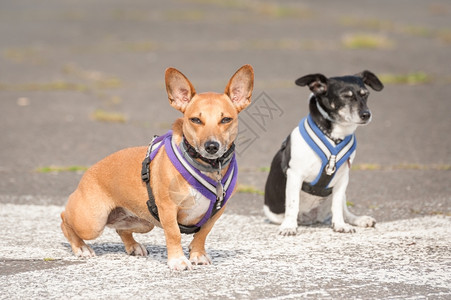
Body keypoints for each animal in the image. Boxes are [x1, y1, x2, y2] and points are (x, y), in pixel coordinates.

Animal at [61, 64, 254, 270]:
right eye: (195, 120)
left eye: (226, 120)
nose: (211, 146)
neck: (207, 167)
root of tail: (88, 172)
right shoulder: (168, 209)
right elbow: (174, 234)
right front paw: (178, 260)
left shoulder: (217, 213)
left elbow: (203, 234)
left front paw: (198, 254)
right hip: (92, 223)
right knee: (65, 220)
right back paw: (81, 247)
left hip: (144, 223)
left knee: (121, 230)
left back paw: (133, 246)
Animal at [264, 71, 384, 236]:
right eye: (345, 96)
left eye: (365, 94)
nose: (366, 114)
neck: (333, 137)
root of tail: (312, 218)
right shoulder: (295, 175)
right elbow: (293, 204)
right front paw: (289, 226)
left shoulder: (342, 179)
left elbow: (337, 206)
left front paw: (340, 225)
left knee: (344, 211)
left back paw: (358, 219)